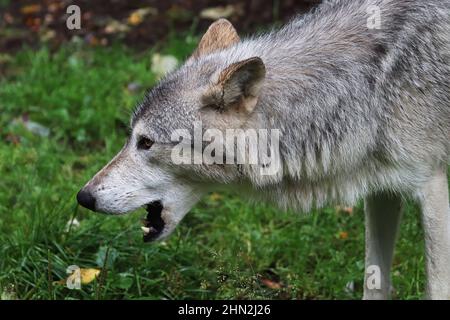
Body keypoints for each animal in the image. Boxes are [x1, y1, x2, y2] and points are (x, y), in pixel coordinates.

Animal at [77, 0, 450, 300]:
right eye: (130, 137)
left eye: (146, 142)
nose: (83, 197)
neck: (369, 87)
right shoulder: (382, 190)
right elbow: (375, 282)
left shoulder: (432, 189)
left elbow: (436, 287)